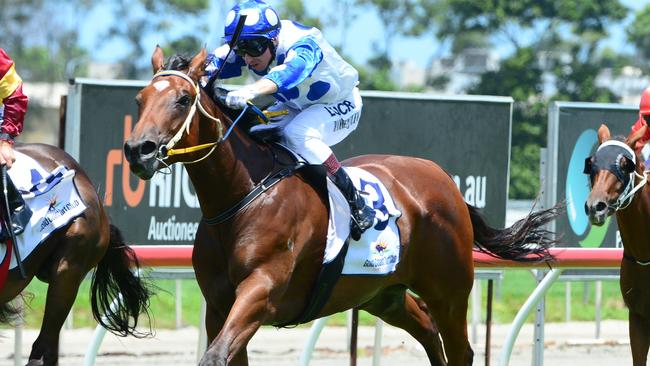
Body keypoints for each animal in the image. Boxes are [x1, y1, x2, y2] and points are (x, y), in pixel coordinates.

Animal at [124, 47, 560, 364]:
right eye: (140, 99)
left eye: (183, 99)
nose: (137, 150)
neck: (242, 197)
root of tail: (445, 181)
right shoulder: (218, 306)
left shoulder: (261, 292)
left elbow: (215, 356)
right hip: (382, 292)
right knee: (427, 330)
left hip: (449, 290)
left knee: (460, 350)